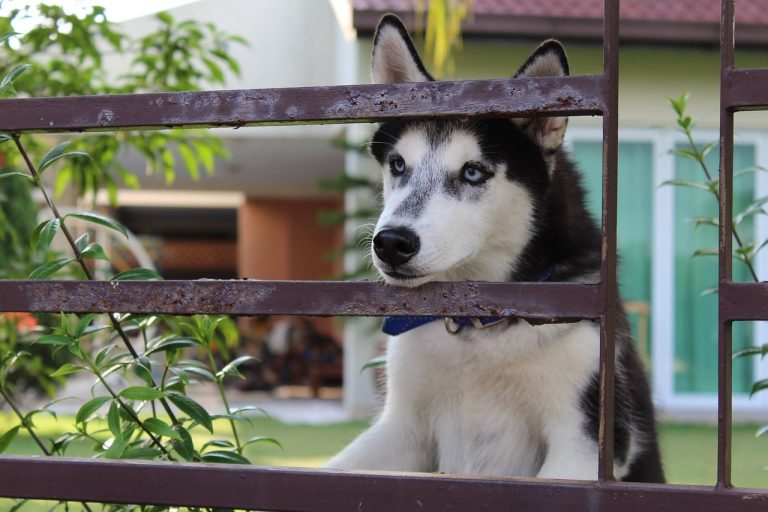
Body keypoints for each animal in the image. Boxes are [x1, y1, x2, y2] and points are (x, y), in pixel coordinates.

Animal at [328, 14, 664, 482]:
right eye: (398, 165)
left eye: (473, 172)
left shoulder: (581, 444)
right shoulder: (401, 429)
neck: (478, 325)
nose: (391, 243)